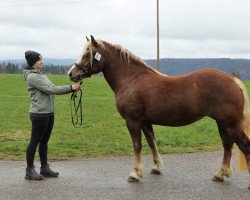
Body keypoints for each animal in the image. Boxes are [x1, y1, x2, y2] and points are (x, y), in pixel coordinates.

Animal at [68, 35, 250, 188]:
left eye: (87, 54)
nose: (71, 74)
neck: (131, 79)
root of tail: (233, 80)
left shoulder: (133, 121)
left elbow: (137, 145)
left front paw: (135, 174)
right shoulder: (145, 122)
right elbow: (151, 143)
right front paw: (157, 167)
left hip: (230, 124)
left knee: (244, 145)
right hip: (222, 123)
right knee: (227, 145)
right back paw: (220, 174)